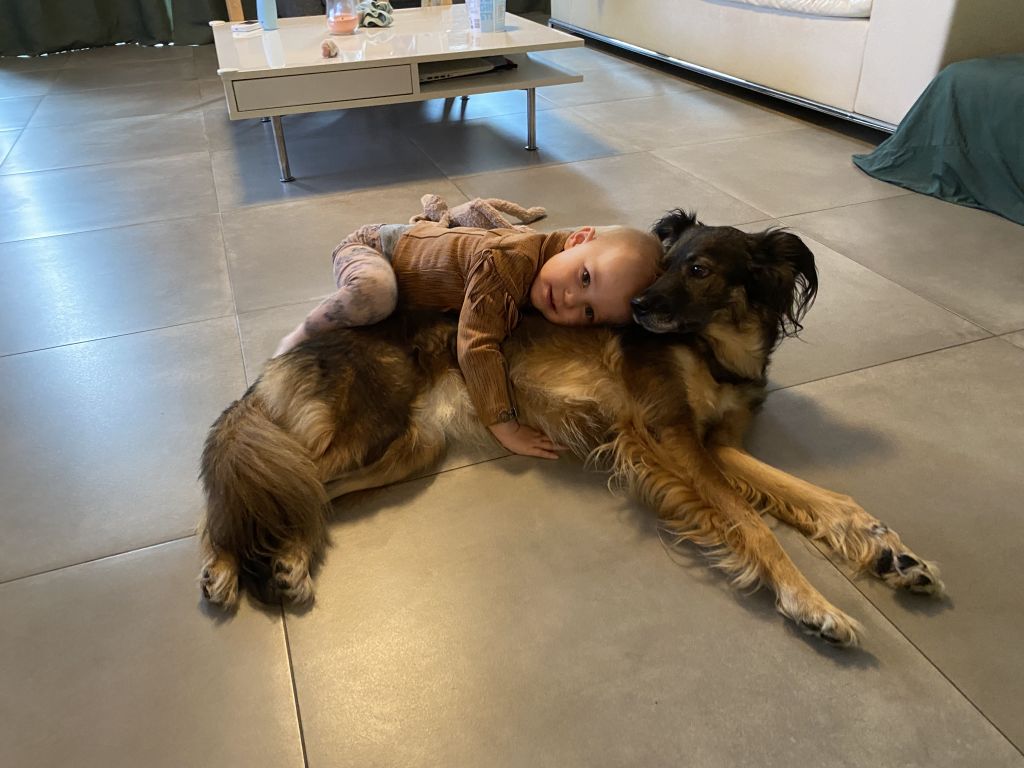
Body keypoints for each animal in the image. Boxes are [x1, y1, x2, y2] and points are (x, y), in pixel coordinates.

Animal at [197, 209, 943, 646]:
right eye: (668, 264)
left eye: (698, 269)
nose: (636, 308)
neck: (713, 349)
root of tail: (284, 355)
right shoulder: (668, 437)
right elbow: (753, 523)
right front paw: (810, 601)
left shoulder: (715, 445)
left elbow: (823, 496)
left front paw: (890, 552)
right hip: (364, 426)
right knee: (250, 496)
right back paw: (226, 566)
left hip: (409, 451)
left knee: (304, 496)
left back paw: (288, 558)